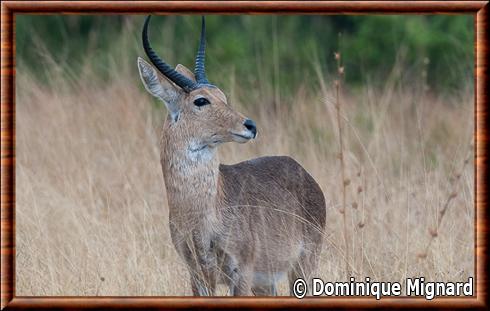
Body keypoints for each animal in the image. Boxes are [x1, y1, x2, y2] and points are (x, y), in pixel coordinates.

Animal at [137, 15, 326, 298]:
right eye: (201, 100)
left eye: (222, 96)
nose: (250, 125)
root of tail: (304, 172)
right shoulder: (197, 275)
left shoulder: (242, 272)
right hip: (266, 282)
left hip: (301, 267)